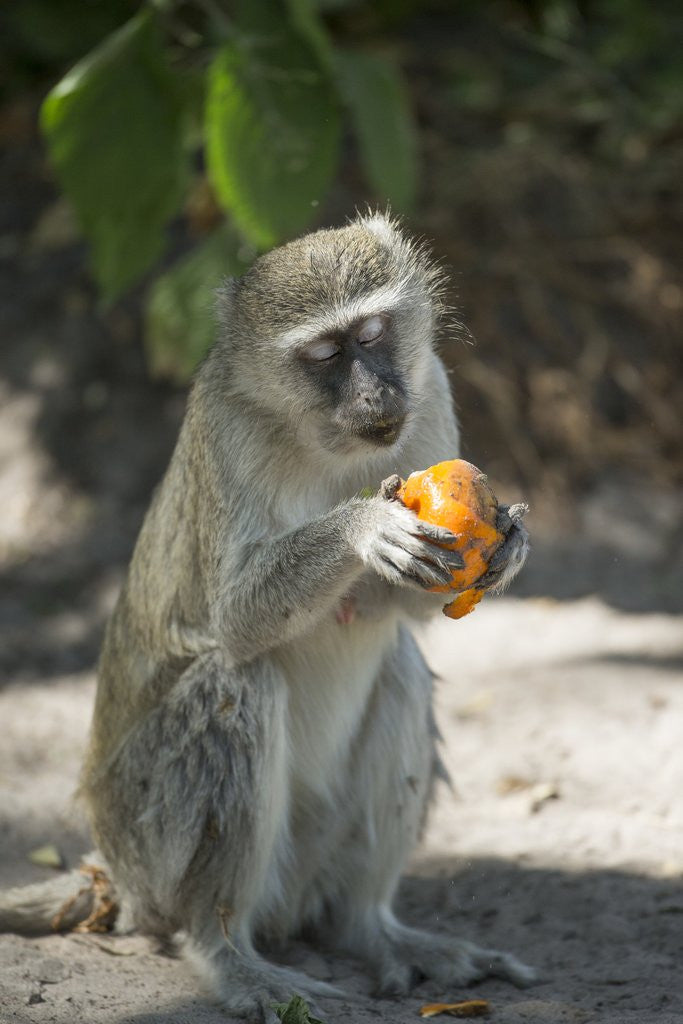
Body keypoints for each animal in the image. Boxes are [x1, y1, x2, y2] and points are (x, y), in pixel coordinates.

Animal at [0, 213, 533, 1020]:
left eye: (372, 333)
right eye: (325, 354)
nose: (376, 392)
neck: (324, 438)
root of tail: (117, 873)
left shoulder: (430, 385)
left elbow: (419, 603)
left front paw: (505, 547)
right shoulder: (229, 429)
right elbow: (237, 620)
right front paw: (362, 528)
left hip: (310, 861)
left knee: (399, 671)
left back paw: (371, 929)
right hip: (152, 845)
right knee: (236, 683)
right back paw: (228, 954)